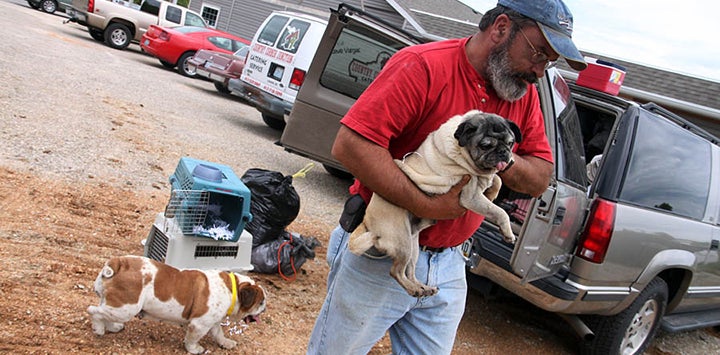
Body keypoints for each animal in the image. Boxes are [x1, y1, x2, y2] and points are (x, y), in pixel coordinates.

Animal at [87, 258, 266, 354]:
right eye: (261, 302)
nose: (264, 308)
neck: (232, 288)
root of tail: (118, 262)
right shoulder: (199, 325)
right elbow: (192, 338)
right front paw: (194, 349)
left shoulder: (212, 321)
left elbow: (218, 333)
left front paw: (226, 343)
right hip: (126, 308)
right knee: (94, 311)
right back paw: (99, 329)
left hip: (117, 307)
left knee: (104, 313)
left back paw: (112, 327)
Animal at [348, 110, 520, 298]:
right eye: (485, 146)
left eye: (510, 143)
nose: (503, 152)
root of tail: (367, 221)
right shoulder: (471, 197)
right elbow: (499, 212)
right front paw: (507, 232)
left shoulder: (484, 177)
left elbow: (497, 179)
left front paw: (493, 191)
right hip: (403, 243)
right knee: (396, 272)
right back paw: (414, 289)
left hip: (413, 247)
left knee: (410, 272)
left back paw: (422, 287)